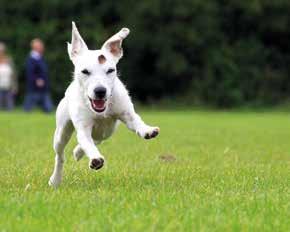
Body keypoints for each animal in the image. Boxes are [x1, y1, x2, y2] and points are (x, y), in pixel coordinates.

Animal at [48, 22, 160, 188]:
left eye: (110, 70)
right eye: (85, 71)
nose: (100, 91)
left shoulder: (126, 114)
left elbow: (136, 121)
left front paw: (147, 130)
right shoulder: (83, 128)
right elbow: (86, 142)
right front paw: (95, 159)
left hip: (108, 131)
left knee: (97, 139)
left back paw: (78, 152)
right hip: (62, 132)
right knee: (60, 155)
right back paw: (55, 179)